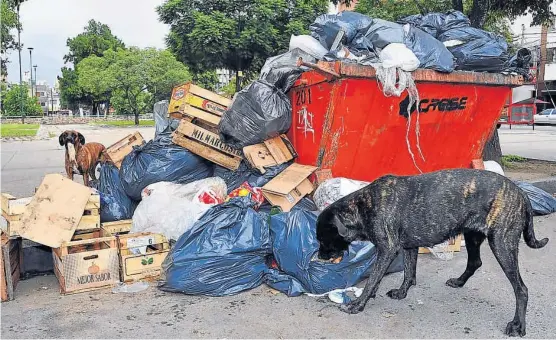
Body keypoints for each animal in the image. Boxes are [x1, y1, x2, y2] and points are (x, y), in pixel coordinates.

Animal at [318, 170, 548, 338]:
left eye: (322, 239)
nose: (320, 256)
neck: (363, 206)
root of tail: (521, 193)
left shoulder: (387, 250)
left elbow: (374, 278)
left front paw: (358, 304)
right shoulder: (409, 247)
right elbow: (408, 273)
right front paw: (401, 292)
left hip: (502, 245)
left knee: (521, 289)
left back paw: (518, 325)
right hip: (473, 236)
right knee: (475, 262)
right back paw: (459, 281)